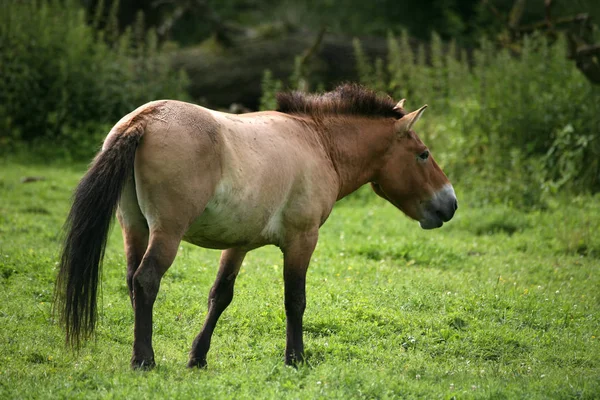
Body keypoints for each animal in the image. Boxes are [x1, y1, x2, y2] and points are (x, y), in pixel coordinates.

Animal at [54, 83, 458, 368]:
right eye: (423, 155)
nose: (450, 203)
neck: (318, 142)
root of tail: (144, 119)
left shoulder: (239, 243)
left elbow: (220, 296)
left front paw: (198, 357)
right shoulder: (302, 240)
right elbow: (295, 300)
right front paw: (296, 358)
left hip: (134, 228)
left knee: (132, 282)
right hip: (166, 232)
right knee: (146, 280)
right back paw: (144, 359)